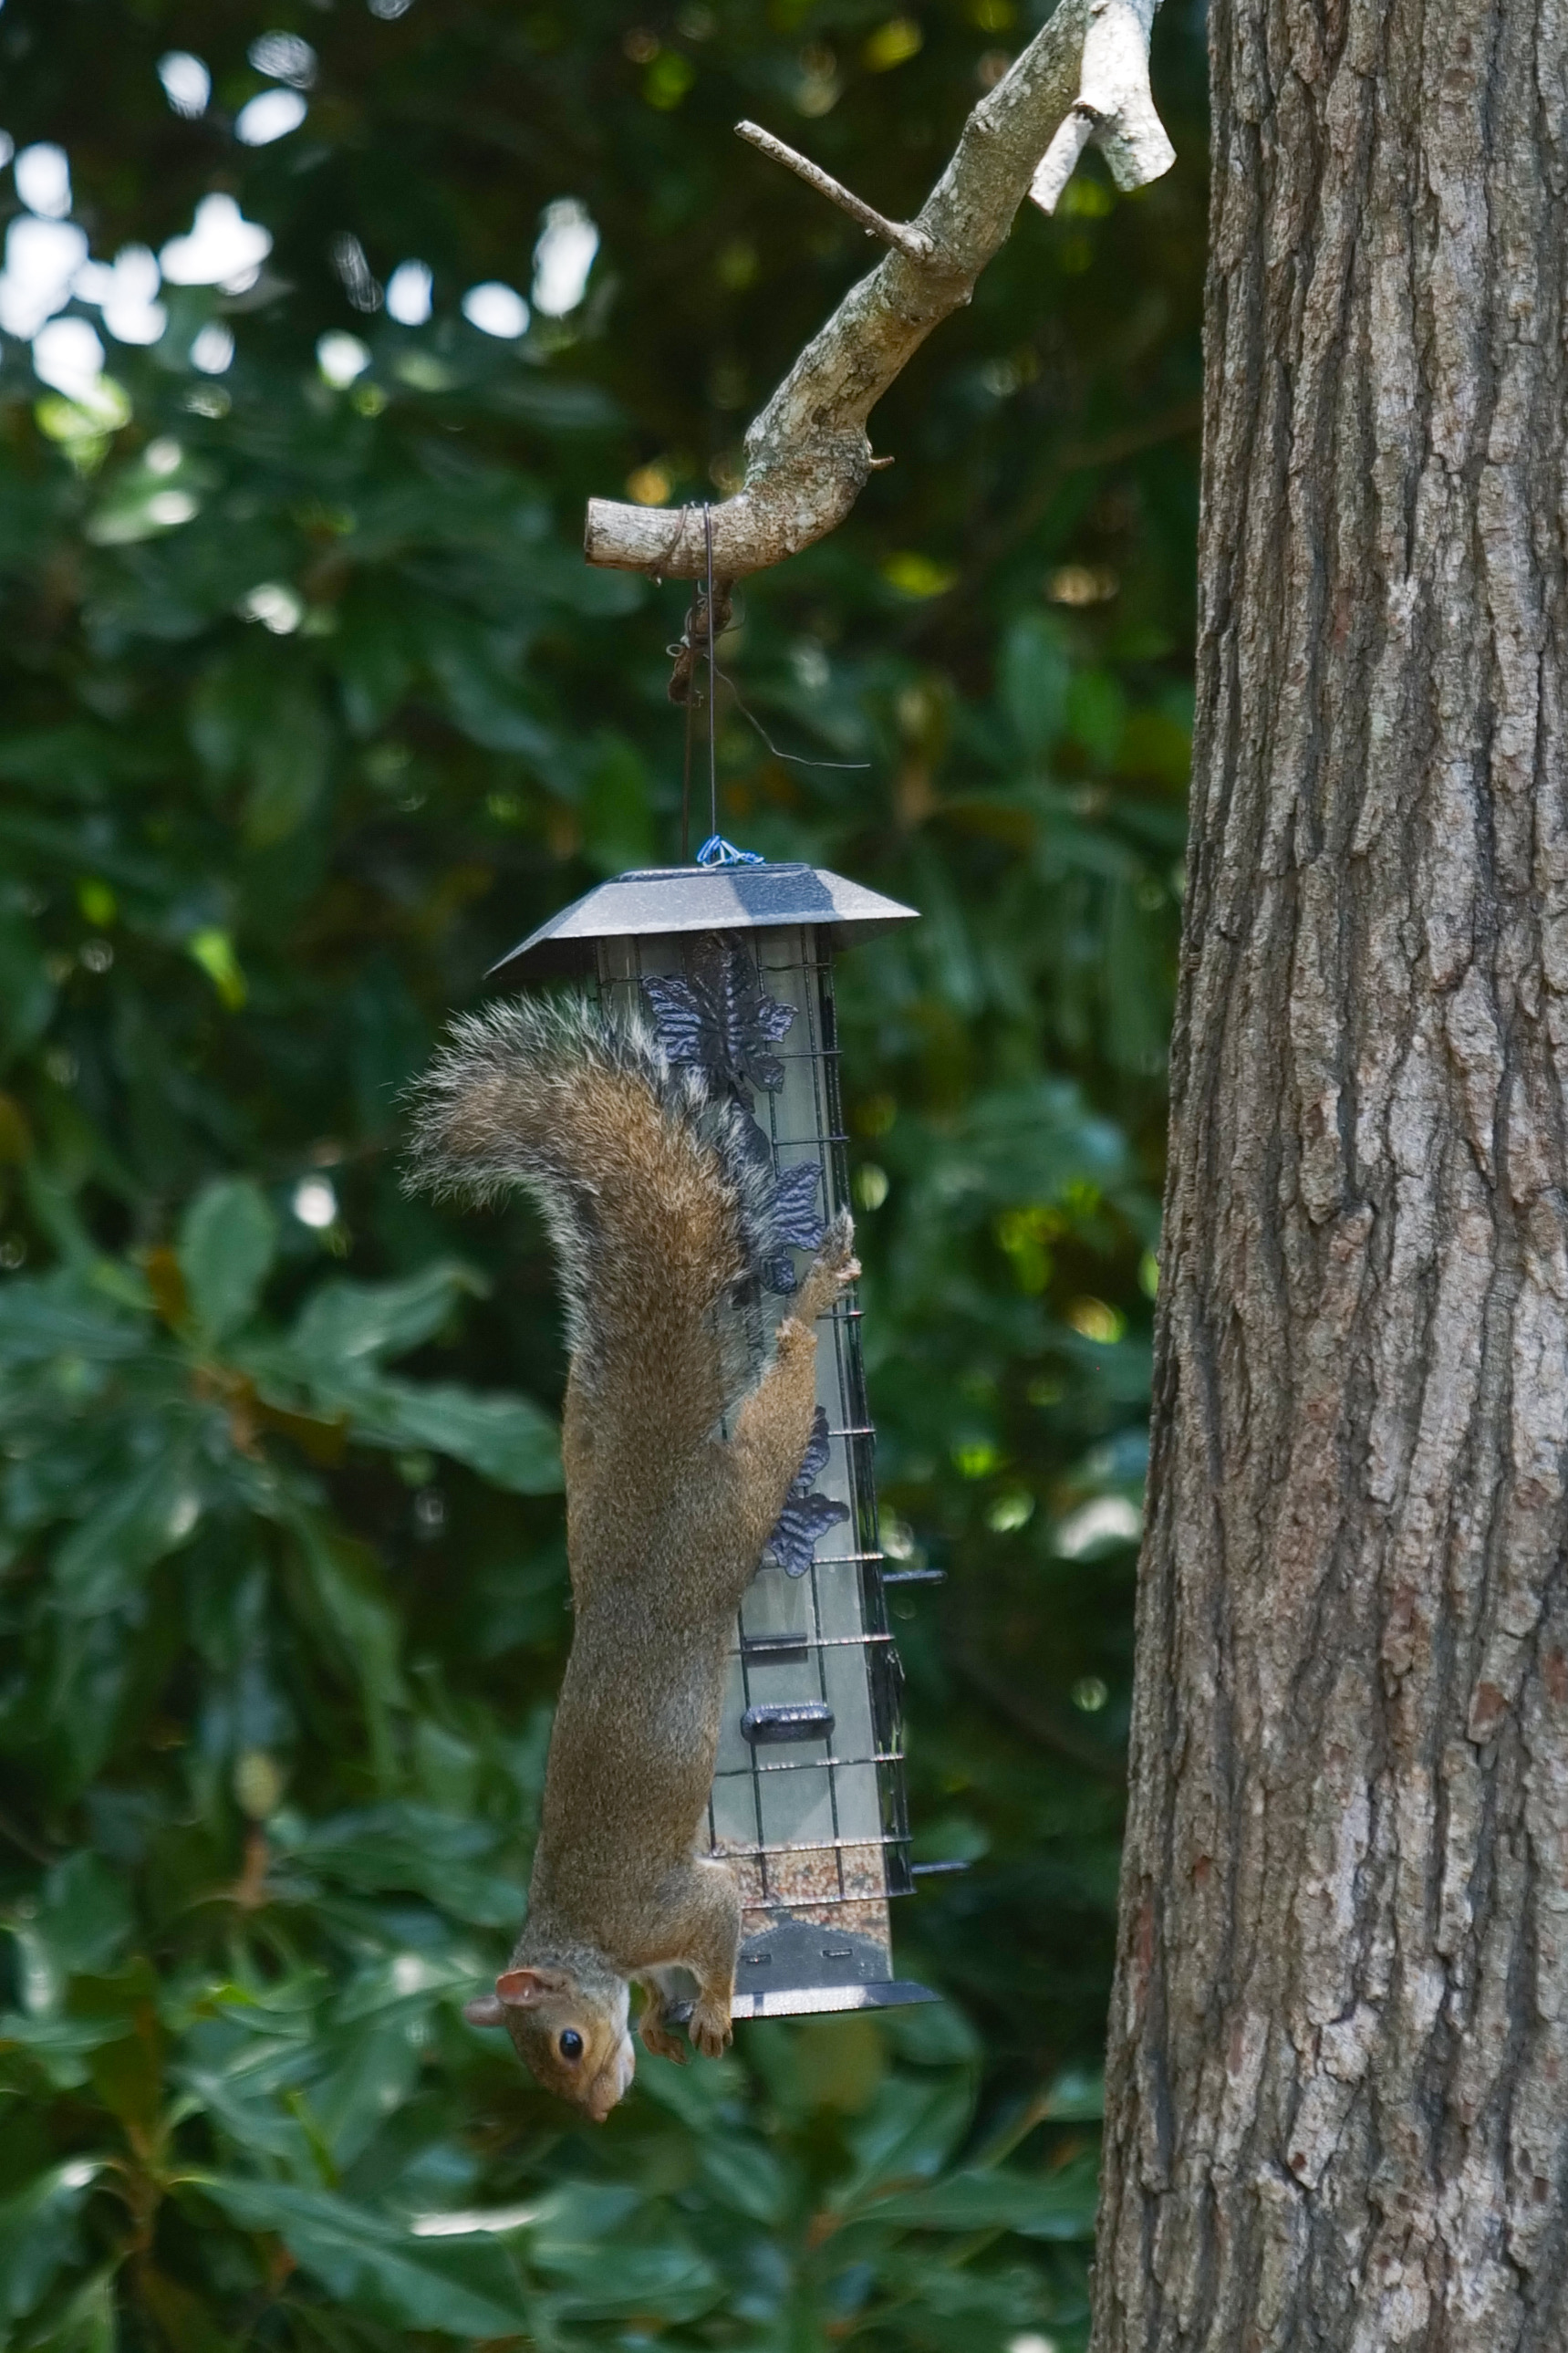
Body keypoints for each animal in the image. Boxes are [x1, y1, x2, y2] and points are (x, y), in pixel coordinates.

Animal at [405, 991, 858, 2122]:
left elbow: (723, 1915)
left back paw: (811, 1299)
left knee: (782, 1397)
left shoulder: (674, 1903)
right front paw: (663, 2015)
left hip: (722, 1512)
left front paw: (716, 2006)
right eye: (544, 2063)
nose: (602, 2109)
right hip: (592, 1469)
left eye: (565, 2042)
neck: (591, 1941)